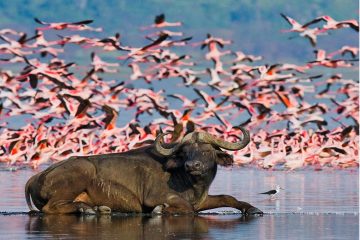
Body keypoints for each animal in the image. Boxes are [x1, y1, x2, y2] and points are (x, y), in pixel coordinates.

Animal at [24, 127, 262, 216]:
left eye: (206, 150)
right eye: (185, 152)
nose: (192, 166)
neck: (190, 182)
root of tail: (36, 177)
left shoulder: (202, 200)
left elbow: (228, 197)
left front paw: (252, 209)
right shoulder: (154, 197)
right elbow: (185, 209)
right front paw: (161, 210)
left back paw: (98, 208)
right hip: (81, 170)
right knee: (50, 208)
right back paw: (87, 209)